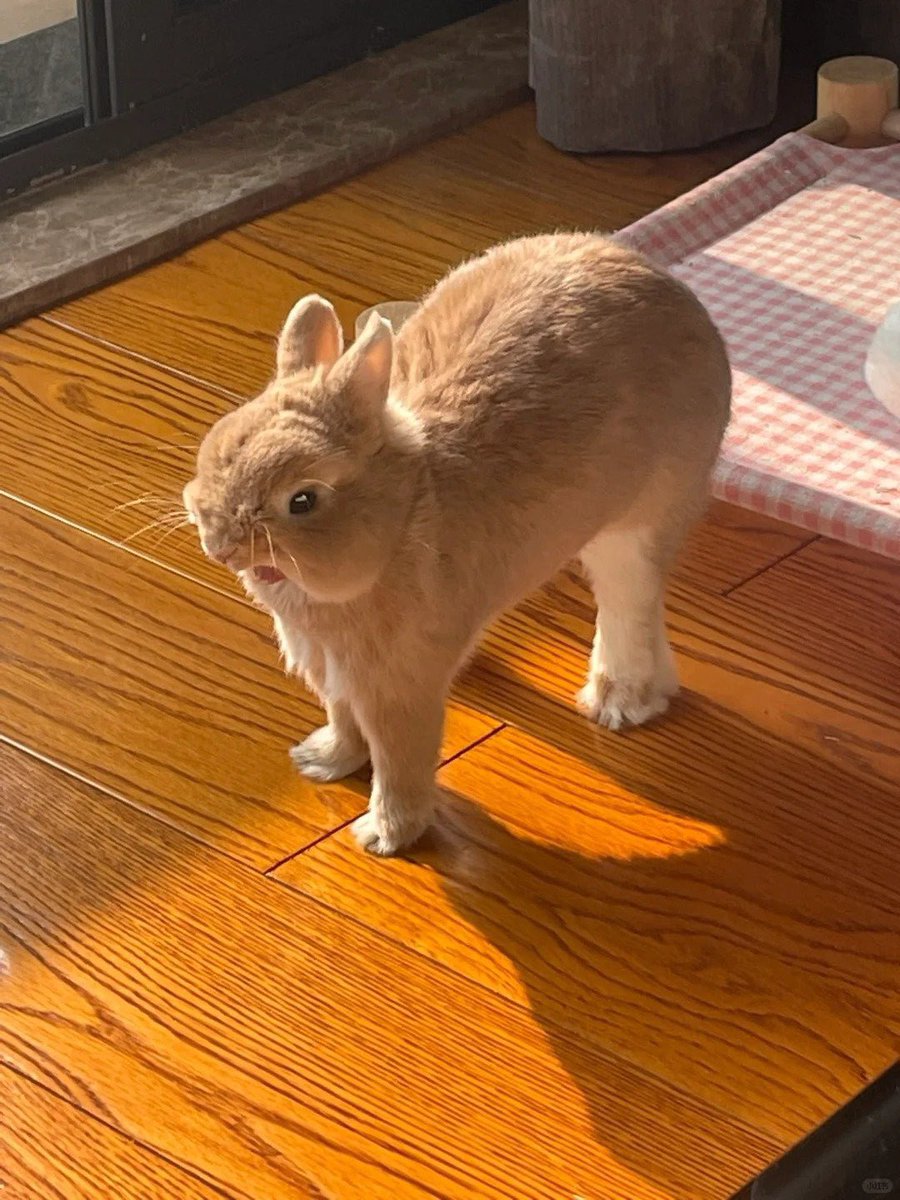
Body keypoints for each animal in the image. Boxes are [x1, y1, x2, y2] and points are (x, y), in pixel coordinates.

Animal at [183, 232, 730, 855]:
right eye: (218, 443)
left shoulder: (397, 688)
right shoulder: (334, 674)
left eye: (302, 500)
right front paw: (319, 763)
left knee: (628, 603)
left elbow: (400, 763)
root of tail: (670, 288)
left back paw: (619, 703)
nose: (217, 541)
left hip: (638, 523)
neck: (403, 515)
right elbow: (345, 725)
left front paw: (384, 837)